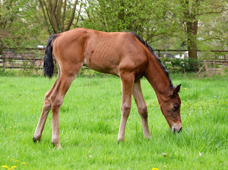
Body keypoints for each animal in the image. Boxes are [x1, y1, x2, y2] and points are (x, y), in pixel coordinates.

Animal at [33, 28, 182, 149]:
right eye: (175, 106)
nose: (179, 128)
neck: (141, 50)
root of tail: (58, 36)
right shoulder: (126, 75)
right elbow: (126, 107)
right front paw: (120, 139)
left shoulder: (136, 79)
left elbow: (142, 108)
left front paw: (148, 138)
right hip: (69, 72)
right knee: (56, 99)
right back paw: (56, 143)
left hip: (61, 72)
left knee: (48, 97)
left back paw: (37, 137)